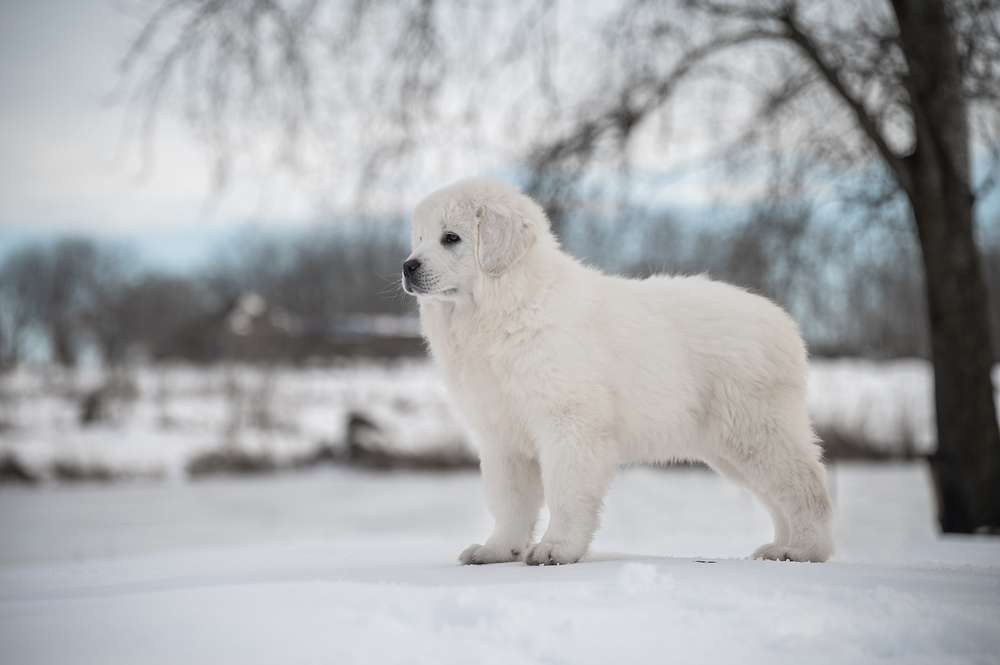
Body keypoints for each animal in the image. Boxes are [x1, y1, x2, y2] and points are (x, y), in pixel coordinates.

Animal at [402, 175, 832, 560]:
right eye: (419, 238)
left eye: (451, 238)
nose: (407, 266)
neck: (508, 308)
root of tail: (783, 322)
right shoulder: (501, 435)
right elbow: (510, 501)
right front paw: (497, 550)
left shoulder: (569, 424)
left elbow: (565, 492)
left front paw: (557, 549)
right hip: (729, 447)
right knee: (777, 495)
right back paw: (778, 548)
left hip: (757, 429)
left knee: (804, 485)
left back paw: (803, 550)